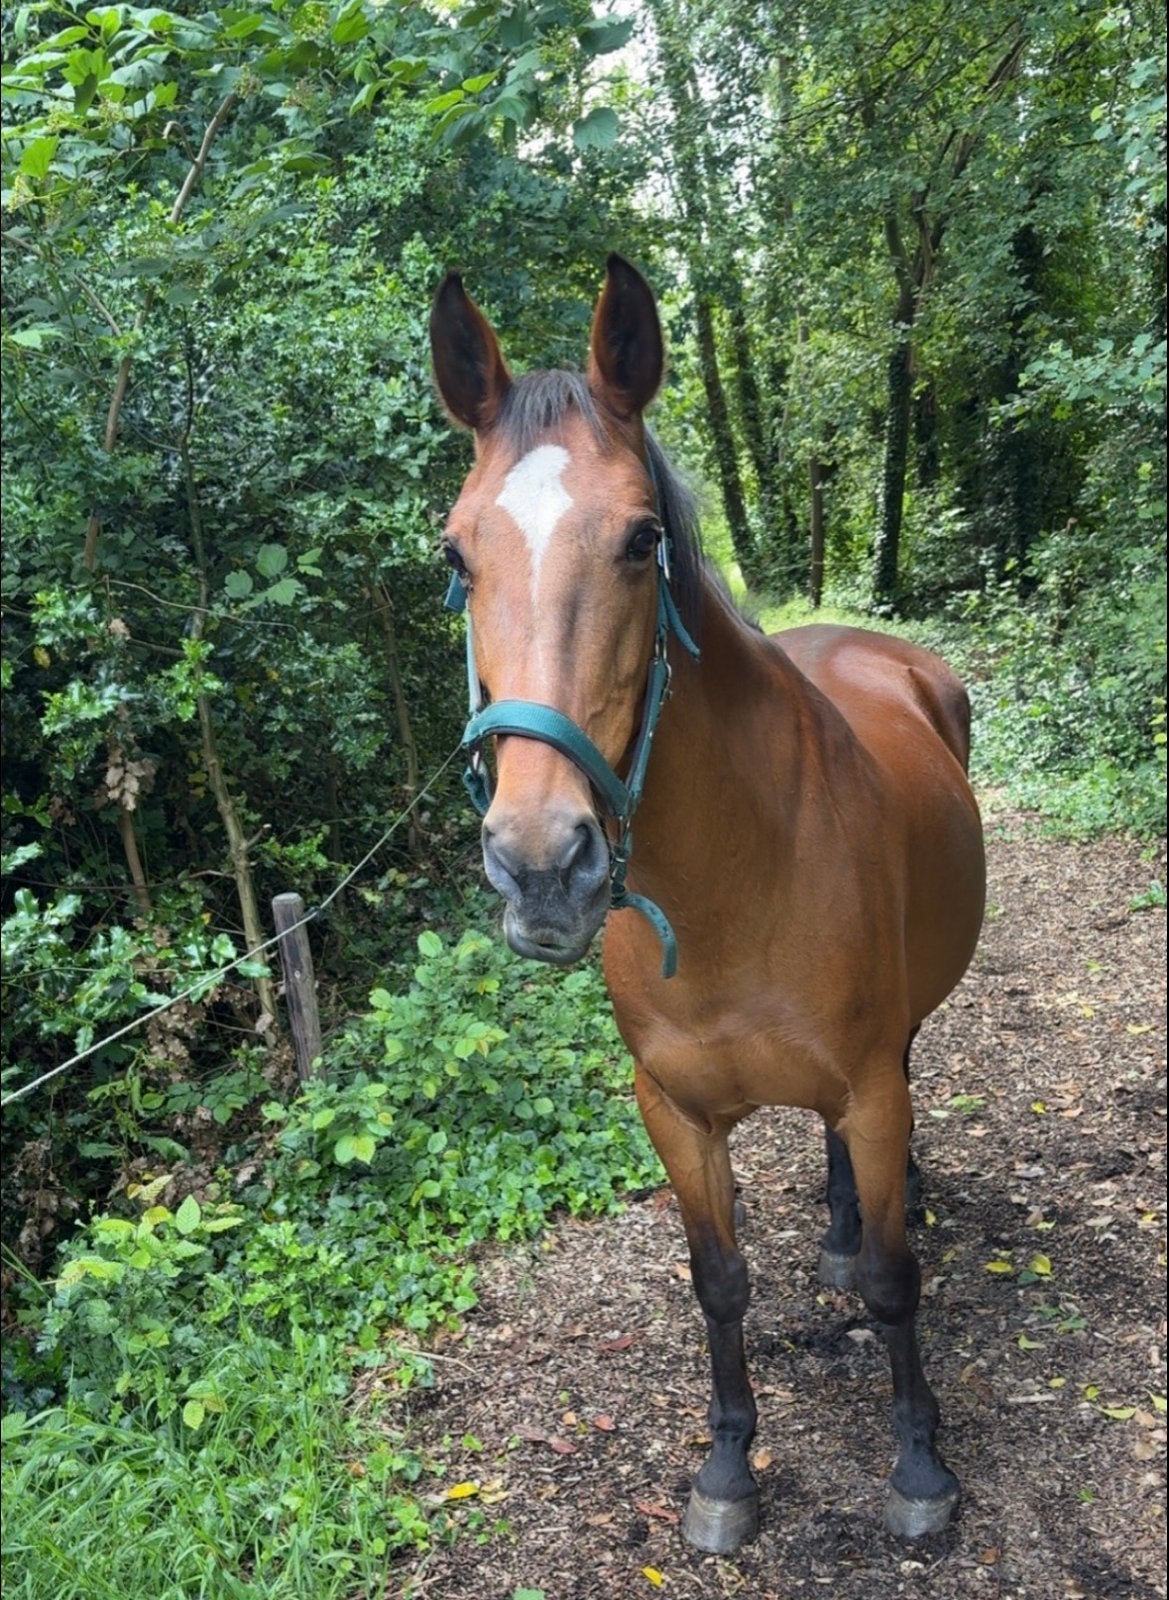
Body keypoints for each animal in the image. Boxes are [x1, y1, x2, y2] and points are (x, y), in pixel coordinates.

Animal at [428, 254, 986, 1554]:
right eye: (456, 557)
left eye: (641, 540)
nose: (541, 863)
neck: (740, 878)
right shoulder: (673, 1111)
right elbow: (716, 1282)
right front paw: (728, 1469)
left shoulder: (870, 1085)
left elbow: (895, 1284)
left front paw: (918, 1464)